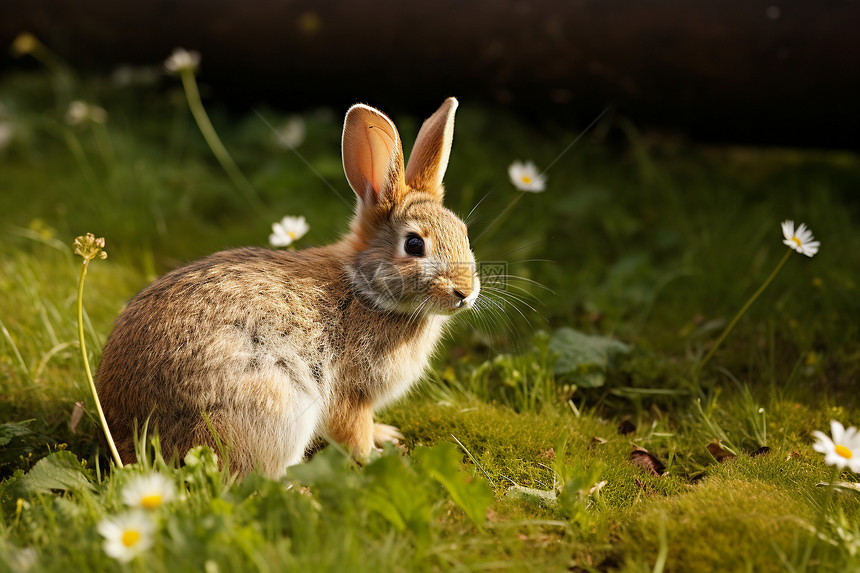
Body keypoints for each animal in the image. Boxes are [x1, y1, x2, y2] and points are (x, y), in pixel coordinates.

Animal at [99, 99, 484, 478]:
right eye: (414, 245)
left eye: (464, 234)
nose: (464, 293)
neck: (366, 289)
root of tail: (127, 435)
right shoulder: (349, 392)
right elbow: (352, 432)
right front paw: (378, 456)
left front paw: (386, 435)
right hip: (272, 405)